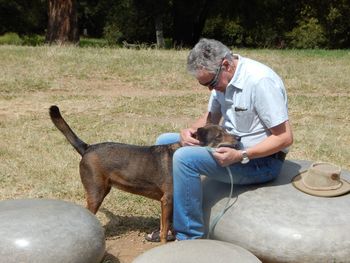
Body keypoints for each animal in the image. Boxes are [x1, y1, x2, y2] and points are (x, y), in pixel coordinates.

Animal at [49, 105, 237, 243]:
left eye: (226, 130)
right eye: (219, 136)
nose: (238, 138)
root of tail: (87, 148)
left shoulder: (168, 201)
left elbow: (165, 226)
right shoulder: (167, 200)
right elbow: (164, 230)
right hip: (96, 193)